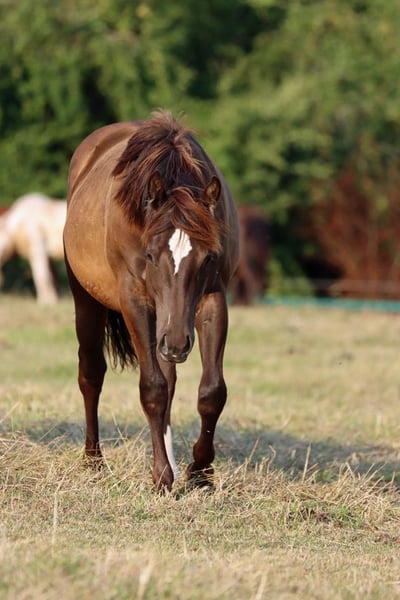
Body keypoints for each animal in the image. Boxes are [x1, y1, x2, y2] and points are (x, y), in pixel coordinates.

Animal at [63, 110, 240, 491]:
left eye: (207, 257)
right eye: (150, 254)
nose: (178, 343)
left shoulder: (212, 299)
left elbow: (211, 392)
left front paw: (200, 472)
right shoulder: (135, 301)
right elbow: (153, 388)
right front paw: (161, 476)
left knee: (169, 375)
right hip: (87, 299)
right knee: (91, 373)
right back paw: (93, 460)